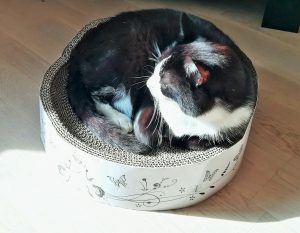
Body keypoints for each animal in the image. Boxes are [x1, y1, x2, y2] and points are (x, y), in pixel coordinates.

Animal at [67, 9, 255, 154]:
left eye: (164, 82)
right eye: (155, 66)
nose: (148, 83)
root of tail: (79, 47)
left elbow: (198, 143)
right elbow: (149, 137)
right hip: (123, 59)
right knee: (92, 92)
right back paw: (120, 119)